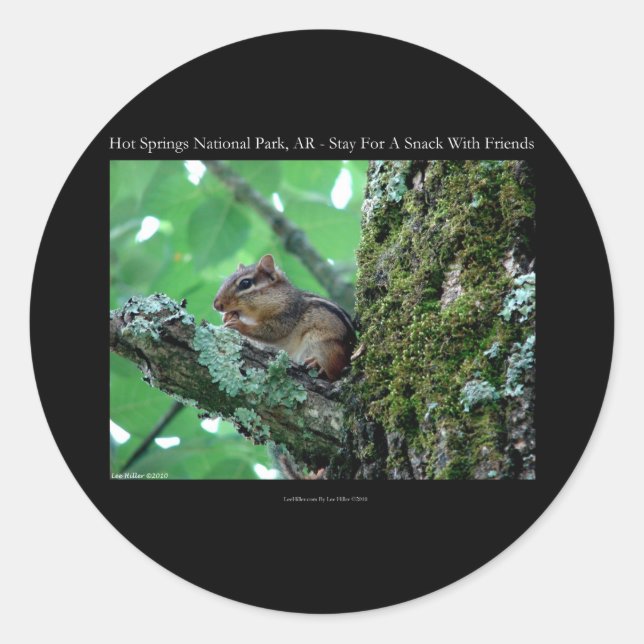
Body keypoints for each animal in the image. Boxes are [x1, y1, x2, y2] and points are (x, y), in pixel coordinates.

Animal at [213, 254, 355, 381]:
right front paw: (227, 316)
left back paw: (317, 364)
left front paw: (239, 325)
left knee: (334, 372)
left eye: (245, 283)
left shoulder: (287, 315)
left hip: (324, 346)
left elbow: (272, 332)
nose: (216, 305)